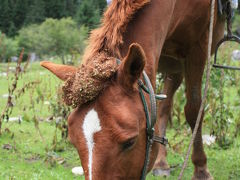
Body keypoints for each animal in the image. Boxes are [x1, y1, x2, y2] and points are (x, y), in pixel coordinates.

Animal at [40, 0, 225, 179]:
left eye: (130, 142)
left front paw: (201, 170)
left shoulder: (198, 48)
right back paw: (161, 163)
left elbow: (194, 110)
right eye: (73, 140)